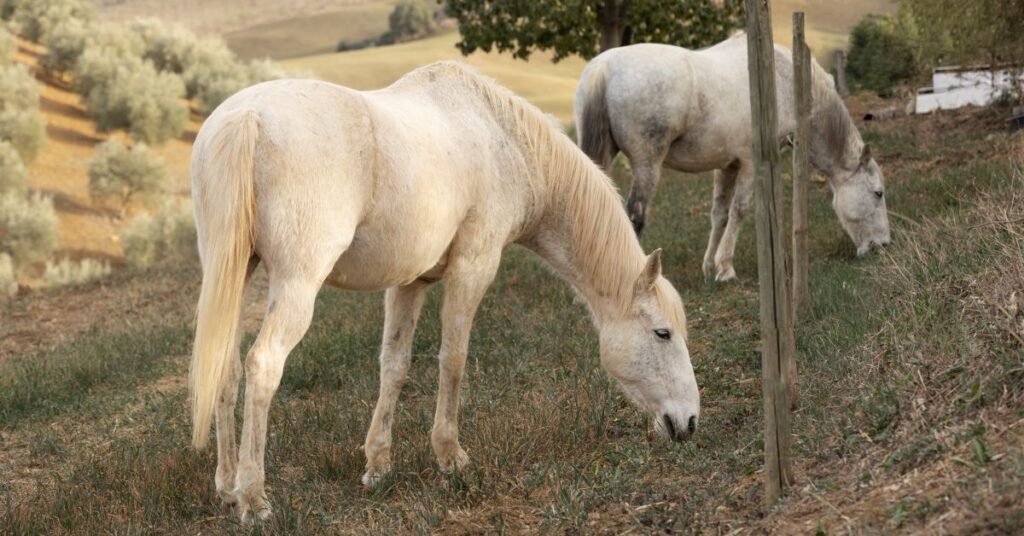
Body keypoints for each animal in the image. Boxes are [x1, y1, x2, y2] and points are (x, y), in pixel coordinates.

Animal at [189, 61, 699, 522]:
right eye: (662, 333)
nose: (689, 423)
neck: (502, 139)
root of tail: (246, 117)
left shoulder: (410, 282)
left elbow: (394, 366)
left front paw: (378, 464)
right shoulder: (475, 266)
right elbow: (453, 357)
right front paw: (450, 457)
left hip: (235, 275)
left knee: (225, 370)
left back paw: (228, 487)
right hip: (296, 285)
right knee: (262, 367)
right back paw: (254, 499)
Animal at [574, 36, 891, 282]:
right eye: (878, 193)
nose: (883, 246)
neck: (785, 81)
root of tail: (603, 67)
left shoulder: (727, 165)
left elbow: (720, 213)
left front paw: (709, 265)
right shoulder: (751, 163)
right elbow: (739, 210)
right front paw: (725, 267)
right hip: (646, 165)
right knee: (634, 216)